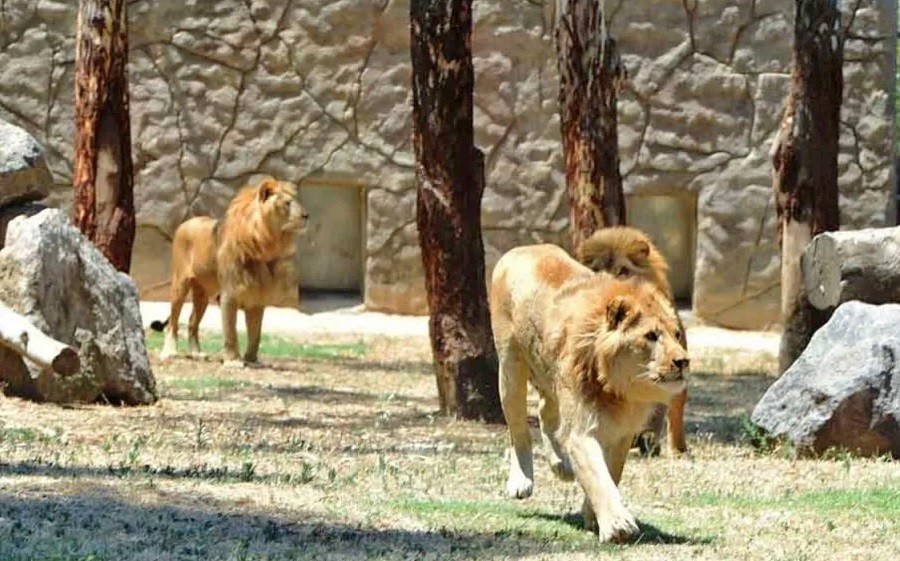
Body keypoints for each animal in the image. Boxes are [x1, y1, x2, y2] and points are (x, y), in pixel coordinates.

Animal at [153, 177, 308, 366]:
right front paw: (233, 360)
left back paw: (197, 353)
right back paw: (169, 352)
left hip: (202, 294)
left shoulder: (257, 295)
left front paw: (252, 360)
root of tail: (186, 222)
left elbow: (256, 333)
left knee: (192, 322)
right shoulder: (229, 295)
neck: (262, 244)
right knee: (173, 322)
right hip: (180, 283)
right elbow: (231, 331)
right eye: (287, 203)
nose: (306, 215)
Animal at [492, 245, 688, 544]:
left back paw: (561, 464)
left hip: (550, 376)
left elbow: (611, 472)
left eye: (677, 334)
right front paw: (617, 525)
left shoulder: (621, 432)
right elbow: (597, 475)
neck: (621, 389)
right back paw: (522, 480)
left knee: (545, 412)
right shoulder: (582, 430)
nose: (683, 361)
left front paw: (592, 516)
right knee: (518, 430)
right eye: (651, 336)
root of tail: (520, 249)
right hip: (511, 368)